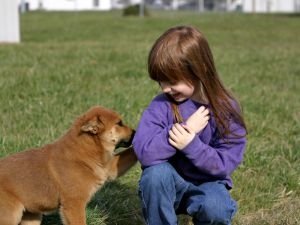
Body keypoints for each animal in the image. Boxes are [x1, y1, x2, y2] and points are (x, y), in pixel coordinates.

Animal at [0, 106, 137, 225]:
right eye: (119, 123)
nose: (135, 132)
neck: (85, 150)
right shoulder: (74, 205)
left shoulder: (110, 168)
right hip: (11, 214)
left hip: (31, 216)